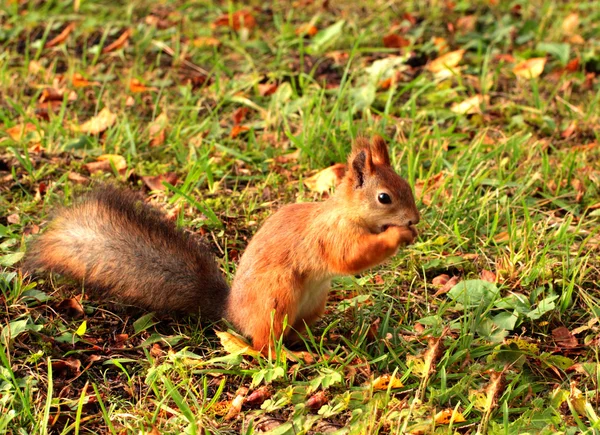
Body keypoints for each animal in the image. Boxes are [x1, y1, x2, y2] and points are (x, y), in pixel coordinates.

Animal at [23, 135, 418, 354]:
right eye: (384, 197)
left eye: (407, 186)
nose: (414, 220)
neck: (345, 212)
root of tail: (232, 312)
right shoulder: (330, 236)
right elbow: (349, 258)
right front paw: (397, 236)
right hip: (277, 296)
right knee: (264, 346)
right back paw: (291, 355)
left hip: (313, 303)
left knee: (293, 333)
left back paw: (319, 341)